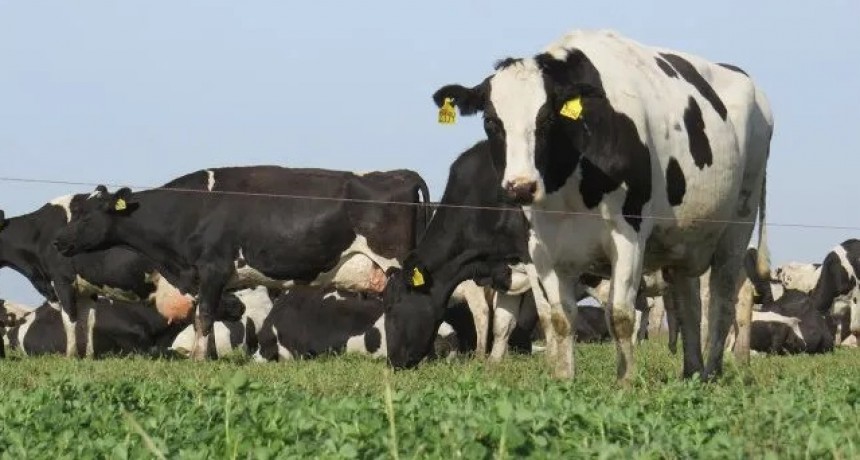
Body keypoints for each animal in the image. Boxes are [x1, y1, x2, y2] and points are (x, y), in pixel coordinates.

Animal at [53, 166, 431, 360]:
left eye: (87, 216)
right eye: (77, 211)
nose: (57, 241)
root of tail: (399, 173)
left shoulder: (213, 269)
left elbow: (204, 315)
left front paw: (198, 360)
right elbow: (206, 316)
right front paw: (211, 357)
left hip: (397, 262)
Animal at [415, 28, 773, 382]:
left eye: (547, 119)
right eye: (491, 121)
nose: (521, 186)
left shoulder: (628, 234)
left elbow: (621, 316)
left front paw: (625, 382)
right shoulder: (542, 248)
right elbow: (559, 318)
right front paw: (564, 379)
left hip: (738, 224)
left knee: (722, 301)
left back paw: (712, 371)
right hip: (683, 239)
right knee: (689, 304)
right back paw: (693, 371)